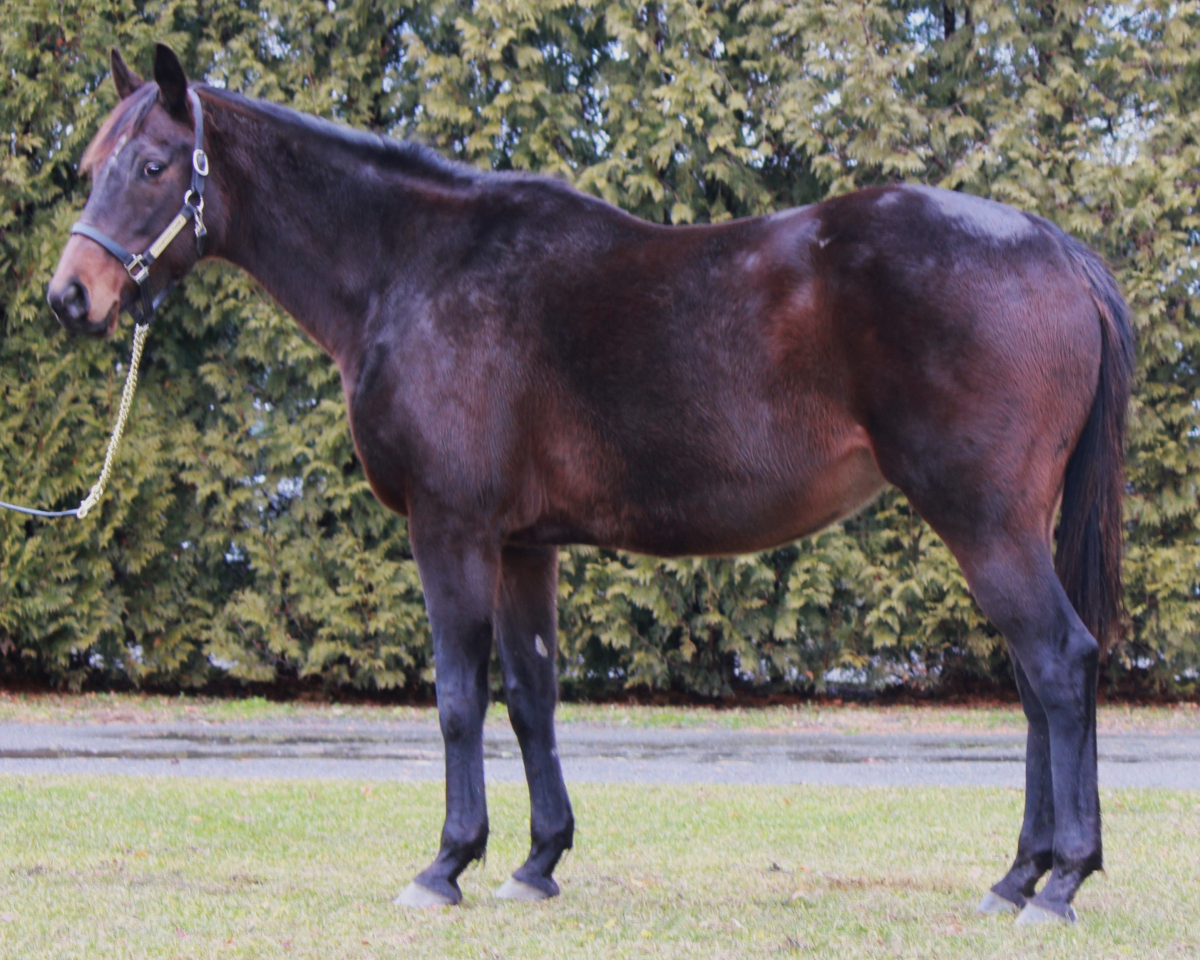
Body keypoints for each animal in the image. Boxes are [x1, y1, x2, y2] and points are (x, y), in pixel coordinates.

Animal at [48, 44, 1133, 925]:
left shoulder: (450, 529)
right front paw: (536, 863)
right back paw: (1016, 879)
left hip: (983, 520)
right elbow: (532, 696)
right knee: (1036, 683)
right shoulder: (525, 545)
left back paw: (1060, 882)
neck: (416, 268)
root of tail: (1055, 247)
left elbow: (458, 695)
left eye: (154, 166)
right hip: (1006, 525)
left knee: (1059, 665)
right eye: (91, 166)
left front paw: (445, 865)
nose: (71, 297)